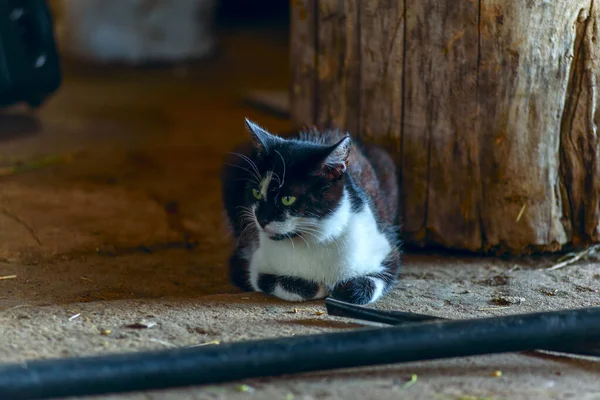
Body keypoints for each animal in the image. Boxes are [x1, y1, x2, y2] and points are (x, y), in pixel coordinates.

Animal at [220, 120, 404, 304]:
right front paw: (322, 287)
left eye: (287, 199)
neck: (314, 238)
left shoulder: (387, 249)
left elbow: (367, 285)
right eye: (256, 192)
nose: (261, 219)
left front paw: (341, 290)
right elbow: (296, 286)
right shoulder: (250, 263)